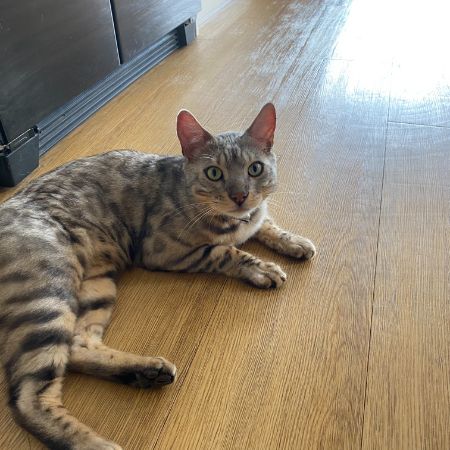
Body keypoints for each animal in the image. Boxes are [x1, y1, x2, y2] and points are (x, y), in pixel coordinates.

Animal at [0, 103, 315, 449]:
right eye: (214, 173)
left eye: (255, 169)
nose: (240, 195)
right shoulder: (166, 249)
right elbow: (226, 252)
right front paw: (262, 267)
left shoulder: (254, 217)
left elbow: (266, 223)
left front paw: (293, 241)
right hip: (48, 294)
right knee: (26, 398)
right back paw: (95, 443)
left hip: (96, 286)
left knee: (77, 345)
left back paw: (145, 372)